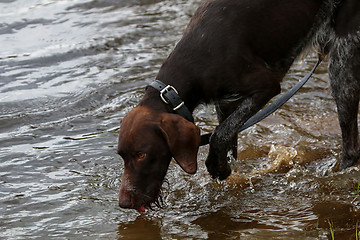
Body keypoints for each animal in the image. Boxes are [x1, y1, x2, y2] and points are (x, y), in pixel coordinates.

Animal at [117, 0, 360, 212]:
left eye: (141, 154)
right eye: (122, 156)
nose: (124, 203)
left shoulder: (266, 87)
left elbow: (219, 135)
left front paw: (218, 167)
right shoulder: (226, 103)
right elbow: (227, 137)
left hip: (342, 65)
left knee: (350, 148)